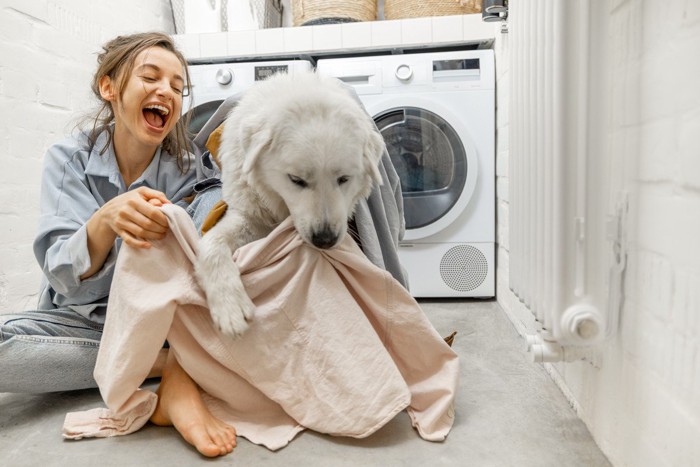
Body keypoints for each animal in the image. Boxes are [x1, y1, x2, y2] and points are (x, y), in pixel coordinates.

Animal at [194, 71, 386, 338]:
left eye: (344, 179)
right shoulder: (249, 216)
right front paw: (229, 307)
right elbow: (212, 243)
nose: (325, 240)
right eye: (296, 180)